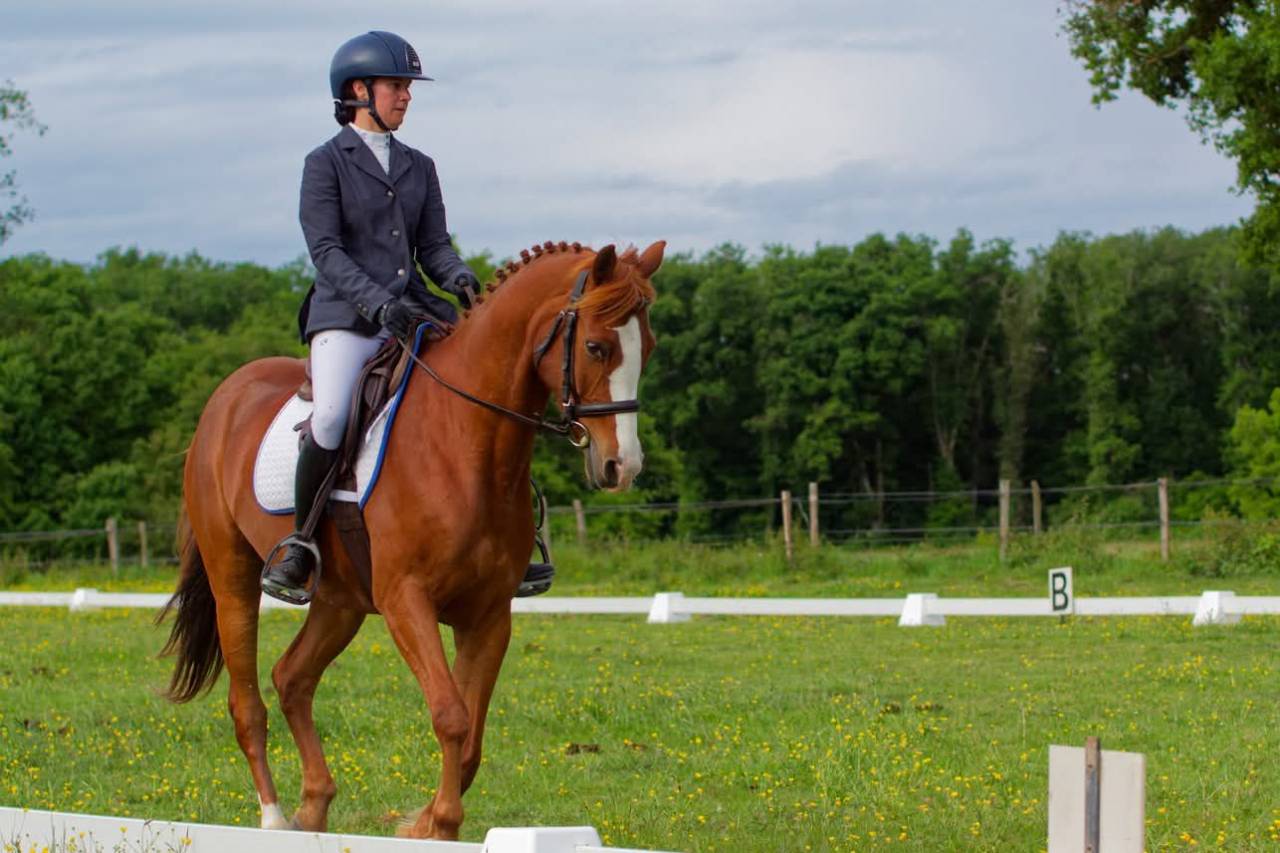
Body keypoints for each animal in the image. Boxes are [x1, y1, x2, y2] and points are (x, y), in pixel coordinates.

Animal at [158, 239, 664, 840]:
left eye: (647, 348)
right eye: (595, 346)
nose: (621, 466)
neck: (466, 445)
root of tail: (225, 397)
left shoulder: (488, 614)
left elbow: (471, 736)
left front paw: (428, 825)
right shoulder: (406, 601)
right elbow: (450, 715)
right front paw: (435, 824)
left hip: (341, 600)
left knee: (292, 678)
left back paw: (313, 808)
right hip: (232, 577)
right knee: (247, 702)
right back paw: (275, 819)